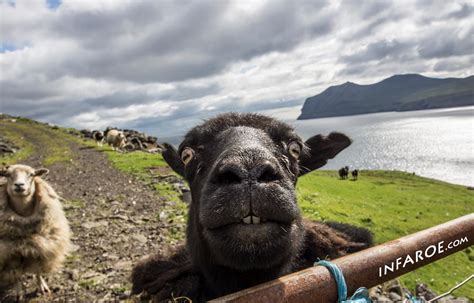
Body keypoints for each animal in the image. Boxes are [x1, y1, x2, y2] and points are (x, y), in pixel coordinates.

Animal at [0, 165, 71, 298]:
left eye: (31, 174)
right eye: (8, 175)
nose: (19, 185)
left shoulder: (41, 245)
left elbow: (38, 269)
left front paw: (42, 287)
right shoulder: (10, 250)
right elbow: (15, 273)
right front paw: (18, 292)